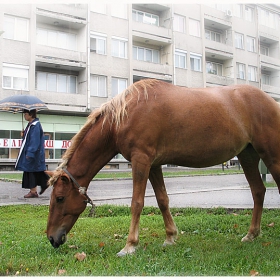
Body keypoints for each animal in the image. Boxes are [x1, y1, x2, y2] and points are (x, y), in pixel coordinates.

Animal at [42, 78, 280, 256]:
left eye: (60, 198)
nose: (52, 238)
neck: (125, 115)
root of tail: (270, 101)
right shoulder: (154, 165)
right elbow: (162, 200)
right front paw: (170, 237)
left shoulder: (141, 160)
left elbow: (137, 203)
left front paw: (130, 245)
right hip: (247, 155)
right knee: (258, 191)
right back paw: (251, 234)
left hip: (271, 155)